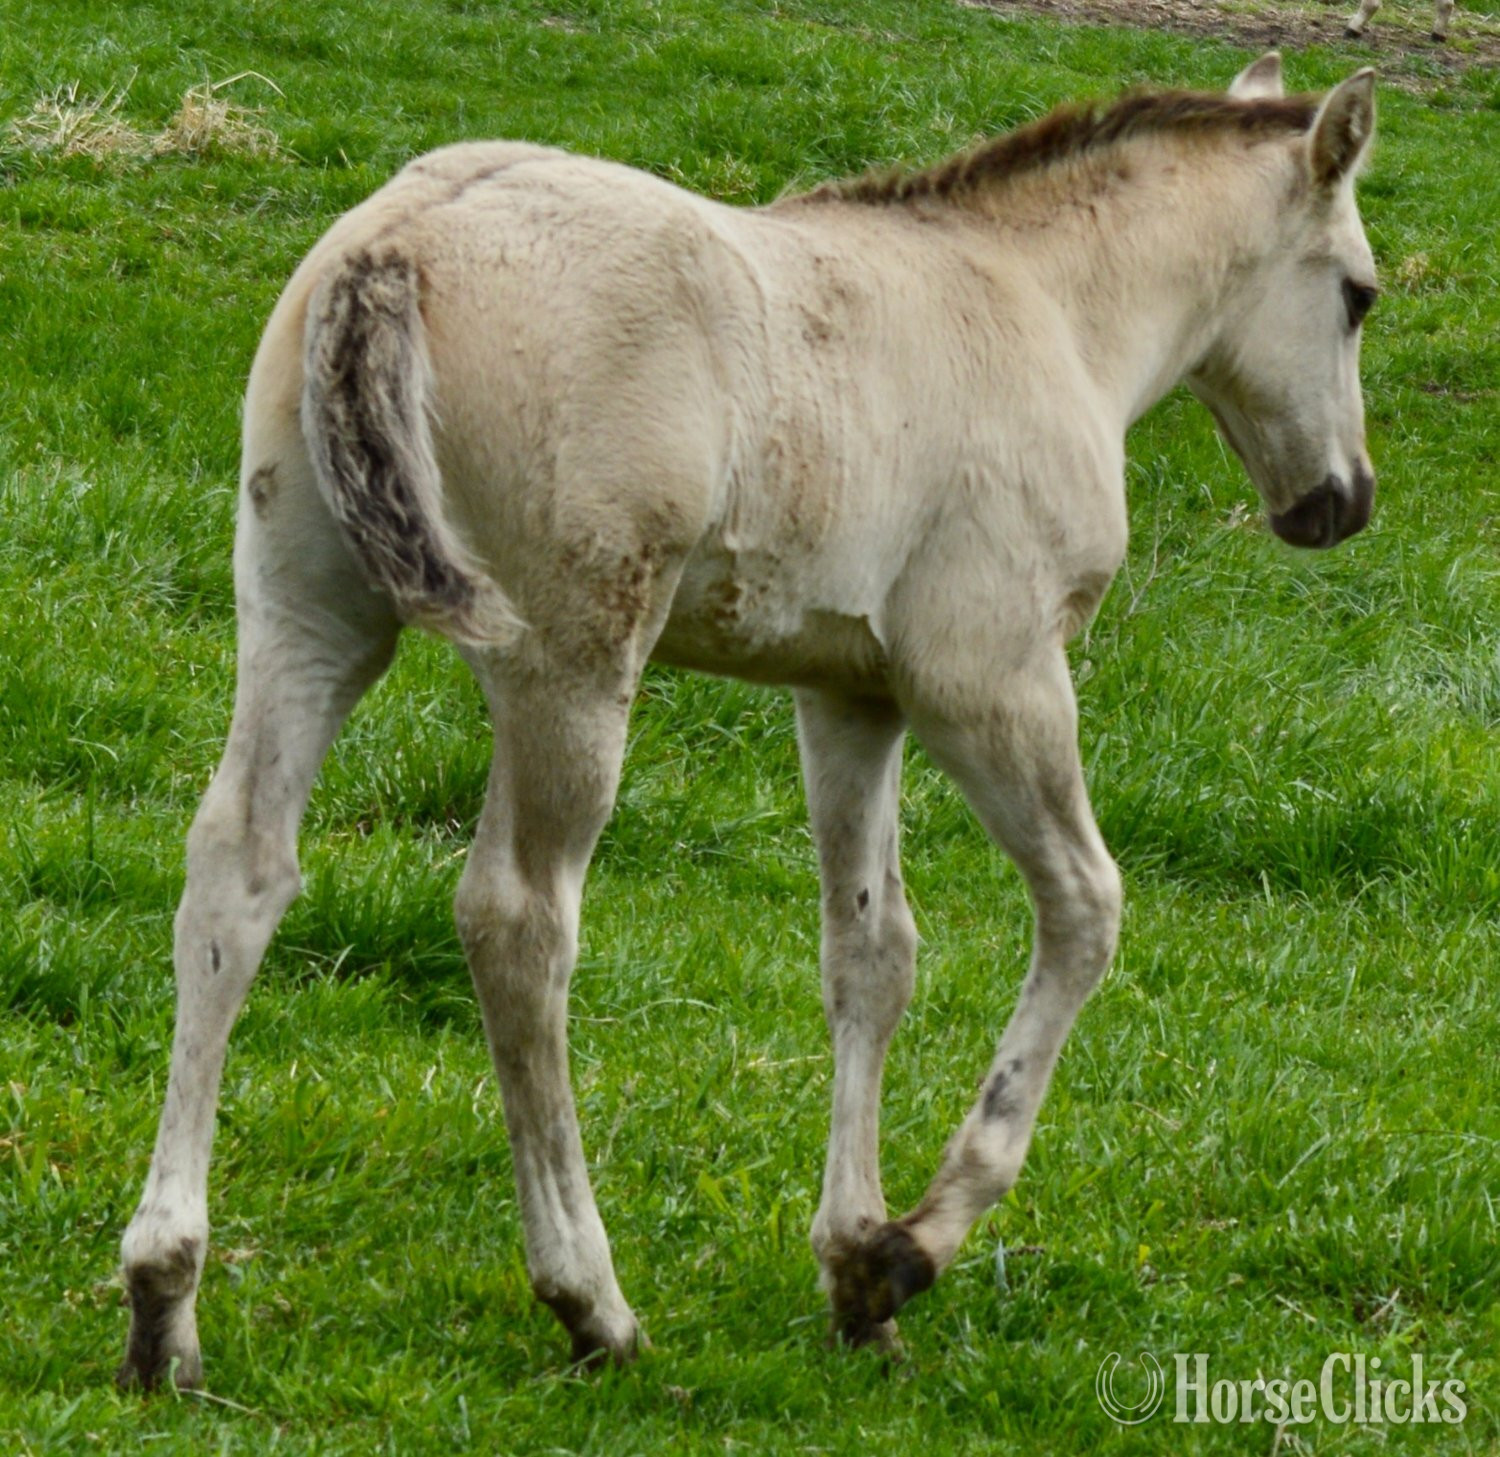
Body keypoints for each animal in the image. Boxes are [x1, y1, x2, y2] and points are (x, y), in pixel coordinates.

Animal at [118, 51, 1378, 1388]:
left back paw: (163, 1304)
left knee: (239, 870)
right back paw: (592, 1300)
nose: (1341, 501)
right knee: (519, 917)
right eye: (1359, 295)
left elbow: (873, 950)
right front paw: (911, 1248)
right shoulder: (989, 676)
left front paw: (854, 1270)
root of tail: (397, 242)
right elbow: (1085, 909)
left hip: (308, 610)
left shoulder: (851, 694)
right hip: (569, 659)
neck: (1040, 307)